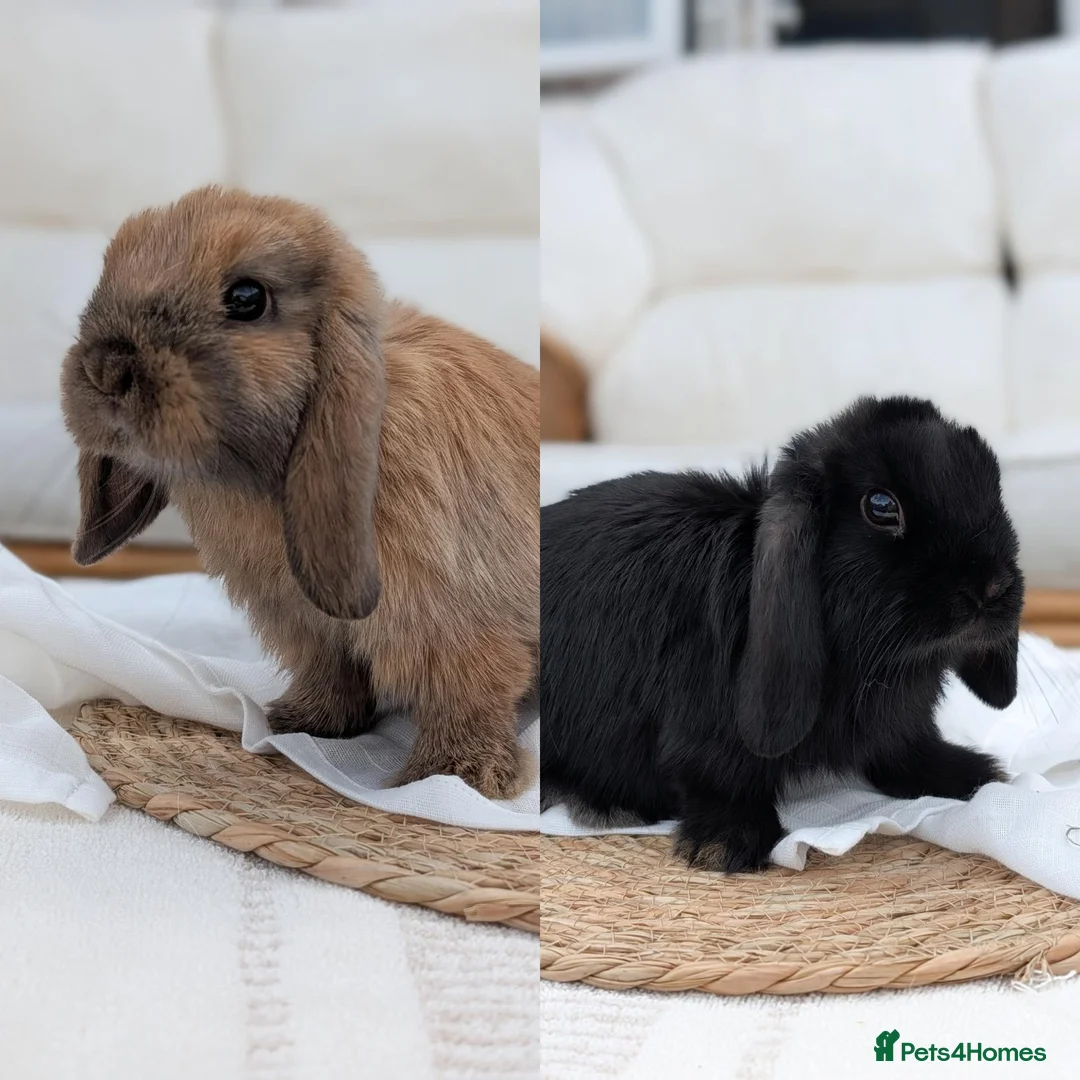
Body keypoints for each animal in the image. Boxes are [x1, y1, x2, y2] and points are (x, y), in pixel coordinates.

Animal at [61, 185, 539, 801]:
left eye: (246, 298)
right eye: (108, 272)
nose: (107, 368)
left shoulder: (450, 621)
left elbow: (470, 690)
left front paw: (457, 775)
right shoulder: (305, 622)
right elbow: (331, 670)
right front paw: (300, 722)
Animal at [541, 396, 1024, 872]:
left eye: (993, 487)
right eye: (882, 506)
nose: (991, 587)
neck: (884, 662)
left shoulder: (900, 728)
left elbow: (905, 753)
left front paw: (972, 774)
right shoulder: (704, 733)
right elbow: (719, 780)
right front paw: (725, 844)